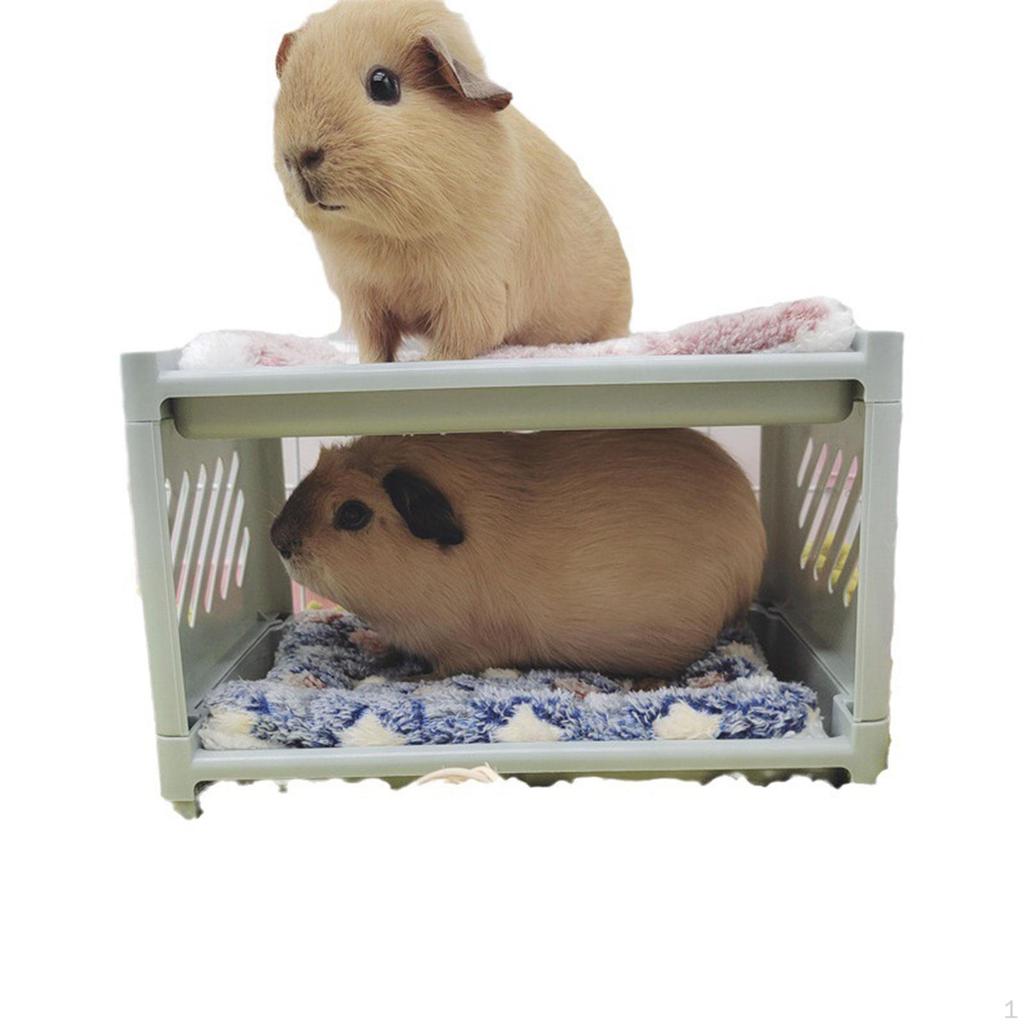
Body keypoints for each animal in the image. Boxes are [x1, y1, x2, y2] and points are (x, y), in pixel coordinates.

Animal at [271, 430, 766, 678]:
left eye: (353, 513)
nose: (278, 539)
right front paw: (372, 651)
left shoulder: (466, 651)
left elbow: (441, 669)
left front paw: (398, 678)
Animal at [273, 1, 632, 363]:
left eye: (383, 84)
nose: (298, 157)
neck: (389, 236)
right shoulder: (363, 299)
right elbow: (376, 346)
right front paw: (374, 365)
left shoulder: (469, 297)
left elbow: (454, 344)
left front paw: (427, 361)